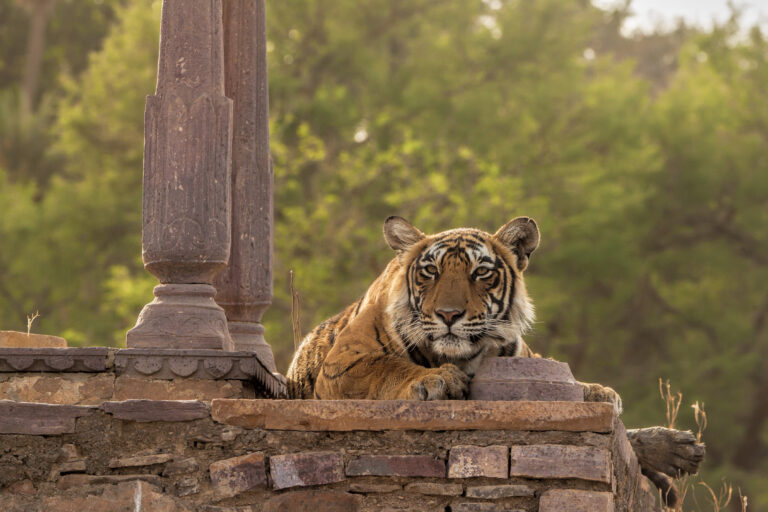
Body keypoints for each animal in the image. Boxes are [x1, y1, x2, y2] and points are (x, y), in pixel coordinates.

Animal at [286, 216, 704, 507]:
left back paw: (675, 447)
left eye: (480, 272)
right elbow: (389, 367)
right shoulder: (343, 363)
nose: (448, 314)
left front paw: (598, 393)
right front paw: (436, 380)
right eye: (431, 272)